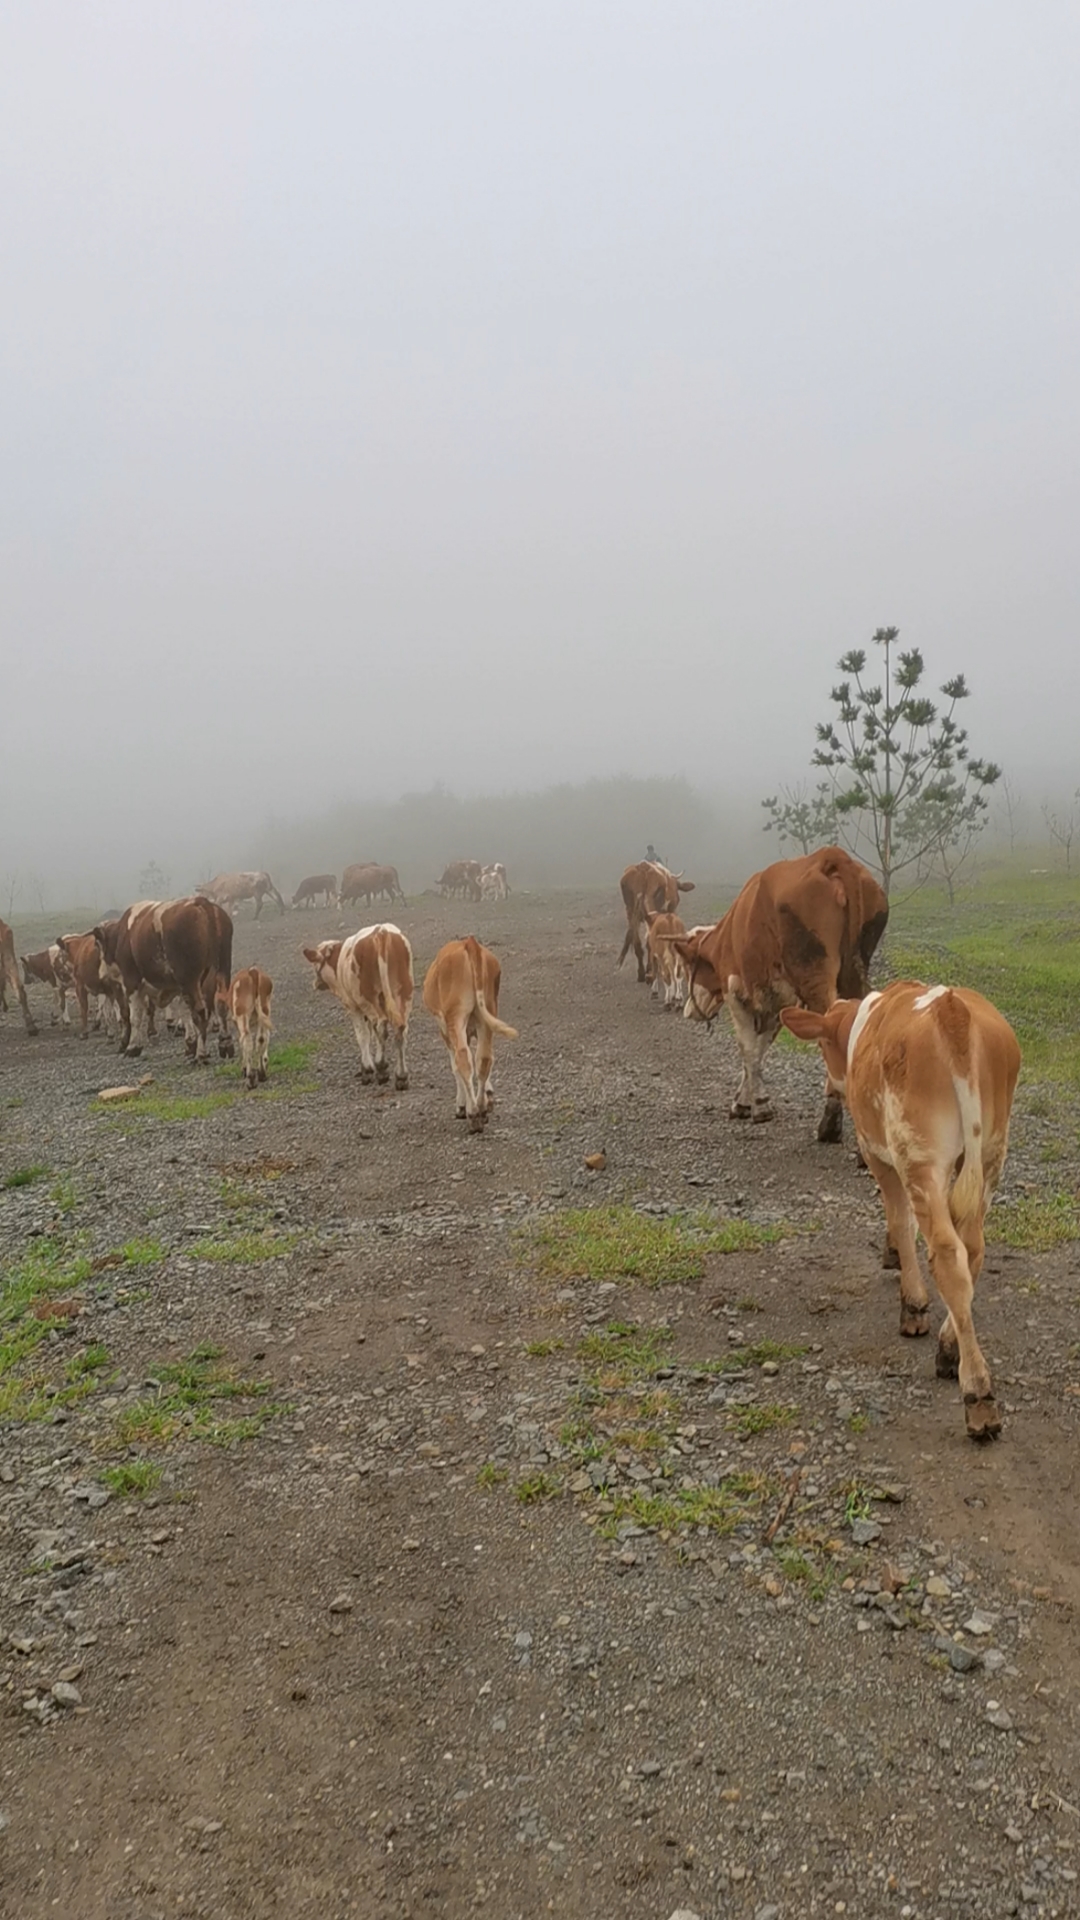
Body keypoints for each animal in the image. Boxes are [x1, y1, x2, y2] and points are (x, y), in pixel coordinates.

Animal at [94, 898, 233, 1067]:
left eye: (98, 945)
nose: (100, 974)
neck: (123, 934)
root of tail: (201, 903)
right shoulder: (178, 987)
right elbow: (184, 1012)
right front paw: (190, 1043)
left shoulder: (131, 981)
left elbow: (135, 1016)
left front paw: (133, 1047)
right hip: (221, 971)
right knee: (221, 1006)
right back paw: (225, 1043)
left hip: (190, 981)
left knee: (200, 1014)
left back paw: (201, 1055)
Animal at [303, 921, 411, 1090]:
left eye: (315, 964)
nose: (316, 983)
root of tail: (381, 932)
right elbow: (370, 1033)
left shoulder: (353, 1006)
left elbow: (362, 1035)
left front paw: (367, 1069)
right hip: (403, 994)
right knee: (401, 1029)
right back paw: (401, 1076)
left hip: (368, 999)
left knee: (381, 1026)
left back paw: (381, 1068)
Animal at [420, 936, 518, 1128]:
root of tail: (469, 942)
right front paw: (489, 1097)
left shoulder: (446, 1033)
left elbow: (455, 1066)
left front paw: (461, 1106)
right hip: (487, 1012)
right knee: (484, 1058)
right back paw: (481, 1108)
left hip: (456, 1017)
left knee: (463, 1059)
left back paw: (473, 1113)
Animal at [668, 844, 887, 1136]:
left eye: (686, 966)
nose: (688, 1011)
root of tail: (829, 857)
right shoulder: (778, 1002)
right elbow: (760, 1049)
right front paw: (744, 1101)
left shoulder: (736, 993)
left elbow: (748, 1048)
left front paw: (759, 1105)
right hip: (855, 969)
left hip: (814, 976)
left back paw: (830, 1121)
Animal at [776, 983, 1014, 1436]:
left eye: (822, 1046)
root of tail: (950, 1008)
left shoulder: (876, 1153)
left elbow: (900, 1221)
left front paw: (911, 1299)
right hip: (991, 1152)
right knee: (972, 1248)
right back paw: (950, 1346)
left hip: (919, 1156)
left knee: (948, 1254)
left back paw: (977, 1394)